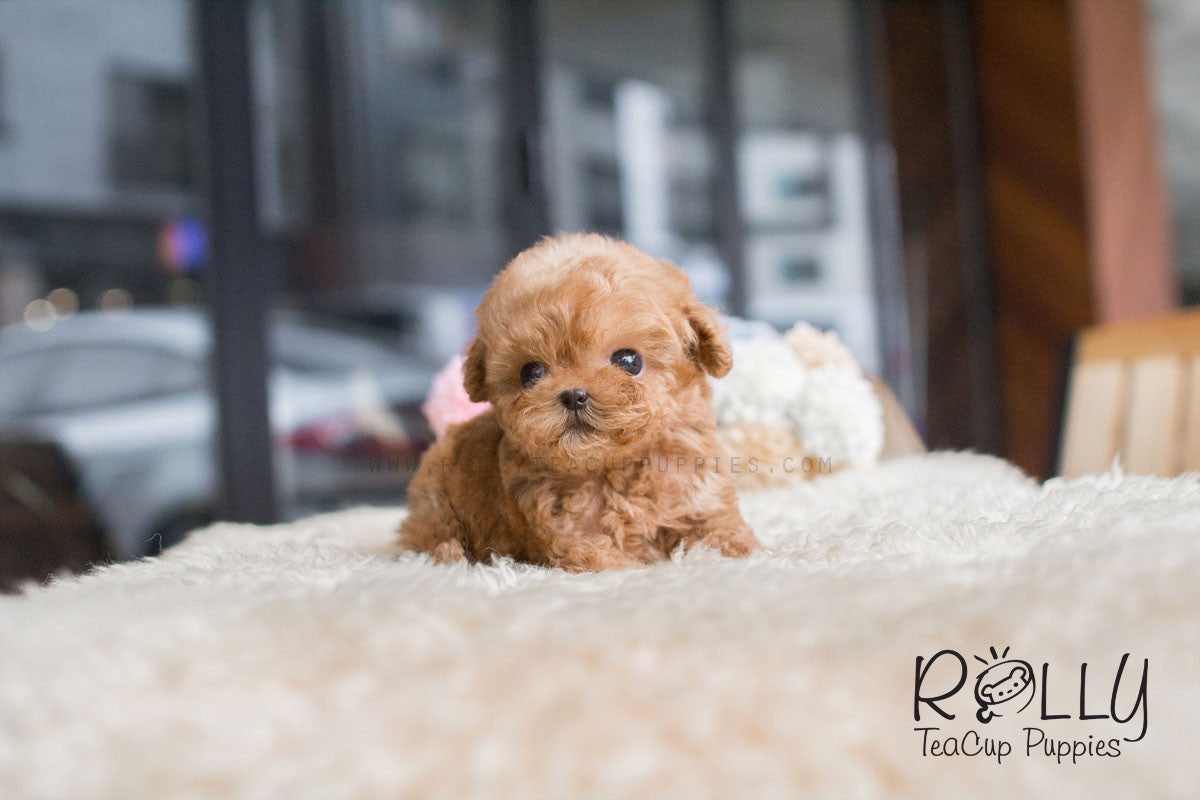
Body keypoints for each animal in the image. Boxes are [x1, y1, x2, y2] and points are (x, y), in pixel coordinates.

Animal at [403, 235, 758, 573]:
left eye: (628, 360)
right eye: (530, 372)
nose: (573, 395)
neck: (616, 465)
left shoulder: (700, 493)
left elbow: (718, 529)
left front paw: (737, 551)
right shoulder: (572, 534)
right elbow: (601, 558)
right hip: (435, 499)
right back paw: (448, 554)